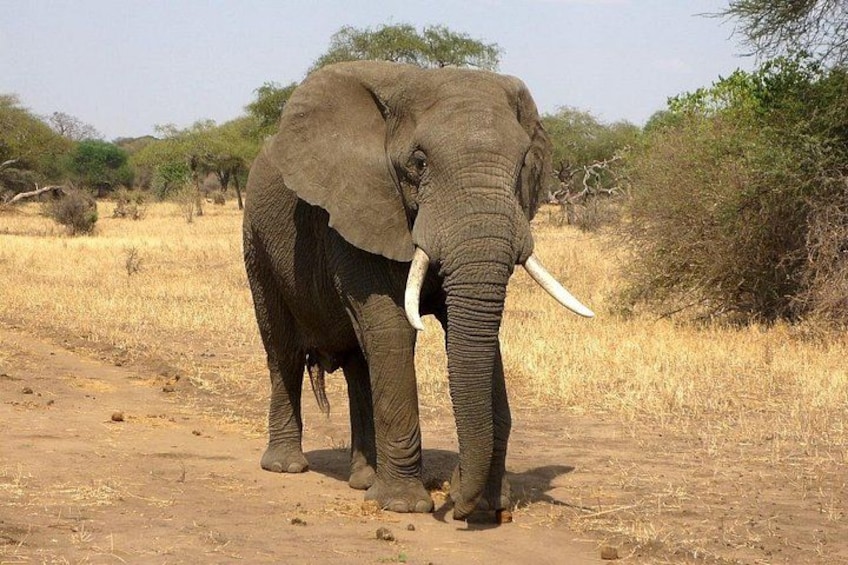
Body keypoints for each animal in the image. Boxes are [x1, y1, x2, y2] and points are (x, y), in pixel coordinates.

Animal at [242, 60, 593, 520]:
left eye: (522, 165)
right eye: (420, 162)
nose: (457, 501)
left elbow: (473, 334)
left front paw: (489, 504)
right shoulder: (359, 208)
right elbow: (393, 328)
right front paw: (403, 506)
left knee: (359, 363)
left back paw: (363, 480)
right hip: (256, 240)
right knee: (281, 348)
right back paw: (286, 466)